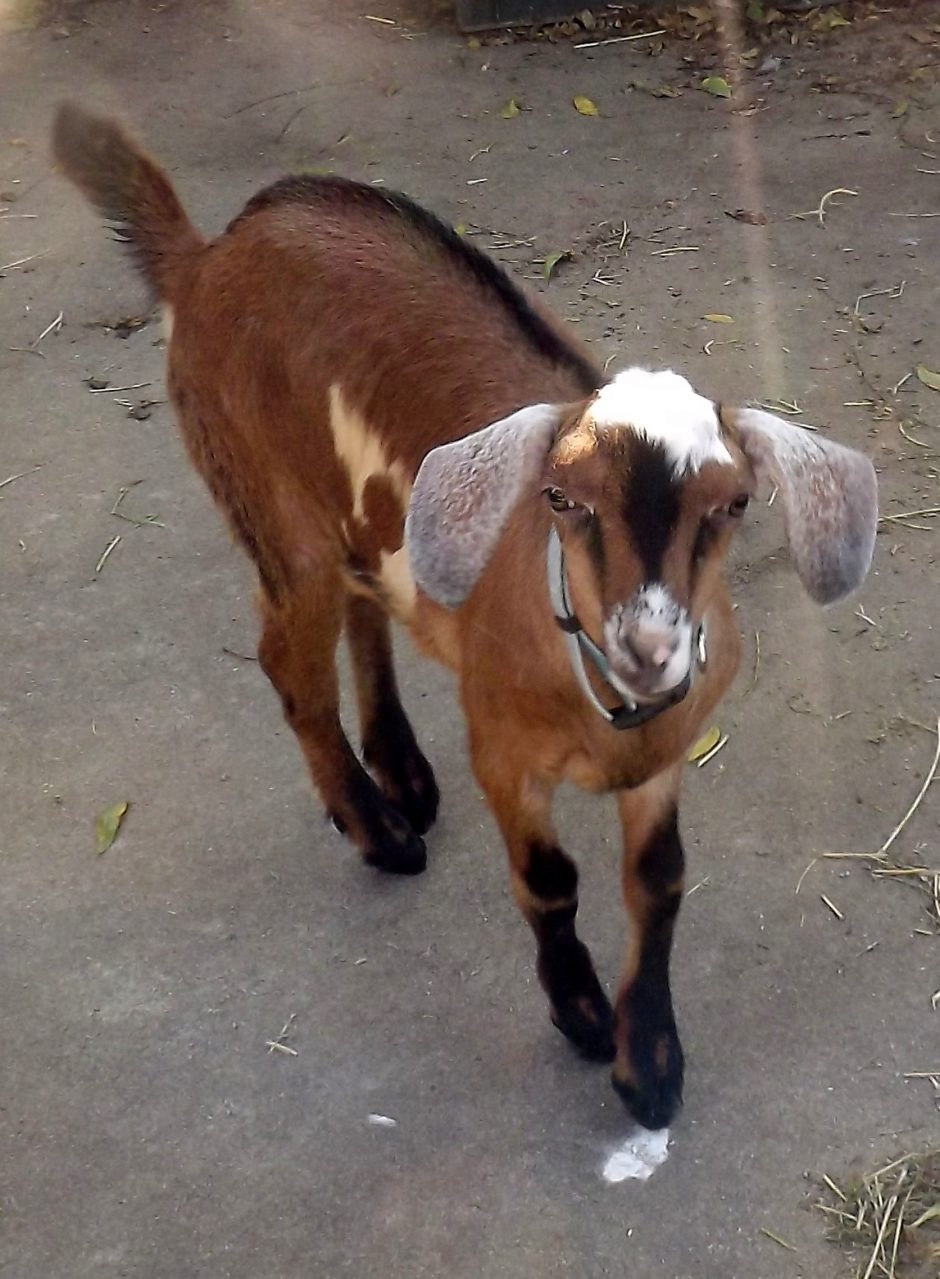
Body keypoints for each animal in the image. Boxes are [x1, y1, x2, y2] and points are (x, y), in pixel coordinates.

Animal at [53, 103, 877, 1130]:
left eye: (733, 505)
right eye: (559, 498)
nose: (648, 647)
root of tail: (205, 256)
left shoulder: (663, 756)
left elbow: (660, 880)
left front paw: (651, 1062)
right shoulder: (503, 749)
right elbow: (551, 881)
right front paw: (583, 1016)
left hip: (349, 515)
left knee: (365, 606)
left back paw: (403, 772)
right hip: (271, 509)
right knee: (288, 661)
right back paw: (379, 829)